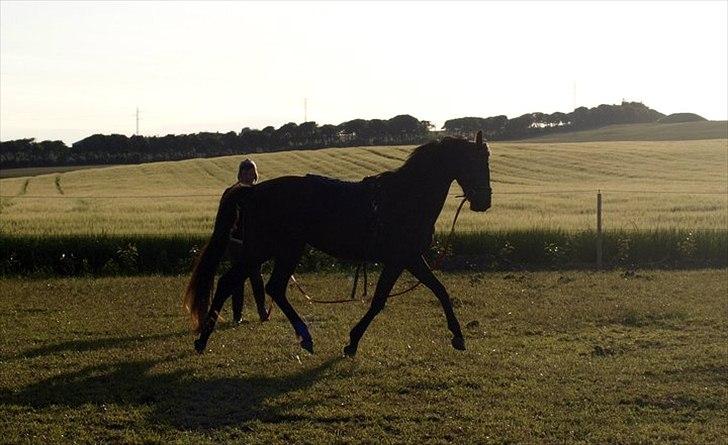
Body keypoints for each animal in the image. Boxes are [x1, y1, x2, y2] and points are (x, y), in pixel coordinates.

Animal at [185, 131, 492, 354]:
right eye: (475, 163)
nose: (485, 201)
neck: (405, 197)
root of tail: (253, 191)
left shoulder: (409, 259)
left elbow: (439, 291)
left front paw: (458, 336)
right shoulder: (401, 259)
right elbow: (381, 300)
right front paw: (352, 342)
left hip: (275, 250)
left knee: (256, 285)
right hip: (273, 249)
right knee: (246, 284)